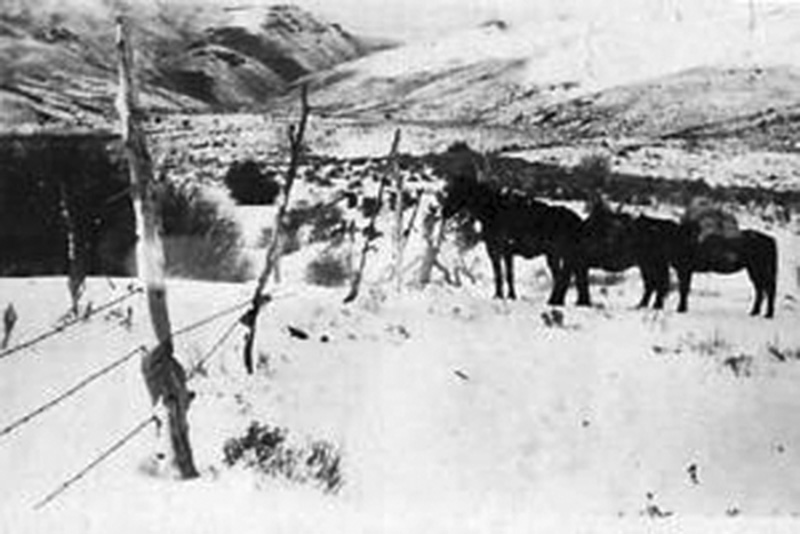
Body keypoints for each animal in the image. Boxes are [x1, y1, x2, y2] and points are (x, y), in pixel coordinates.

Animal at [438, 144, 580, 304]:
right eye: (449, 189)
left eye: (458, 191)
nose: (444, 211)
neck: (489, 213)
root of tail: (578, 220)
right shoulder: (494, 250)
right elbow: (499, 274)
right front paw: (499, 295)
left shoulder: (505, 250)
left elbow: (508, 275)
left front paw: (510, 295)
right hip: (555, 255)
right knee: (562, 278)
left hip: (558, 254)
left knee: (562, 278)